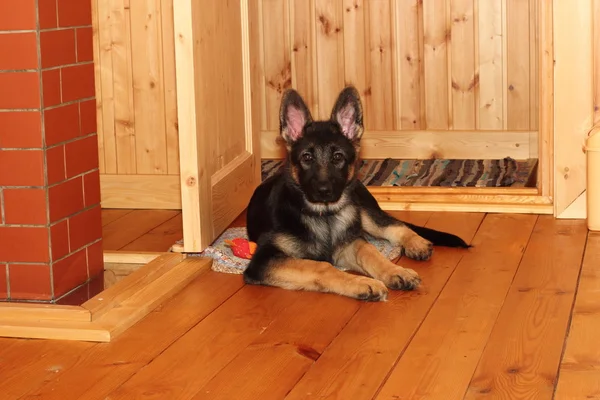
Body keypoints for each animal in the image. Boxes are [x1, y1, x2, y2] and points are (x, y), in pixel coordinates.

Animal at [244, 86, 468, 302]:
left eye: (337, 157)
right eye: (306, 158)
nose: (324, 191)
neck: (324, 216)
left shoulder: (350, 242)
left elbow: (369, 250)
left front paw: (396, 271)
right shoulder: (263, 261)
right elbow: (322, 266)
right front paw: (363, 283)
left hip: (363, 210)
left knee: (391, 224)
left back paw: (416, 243)